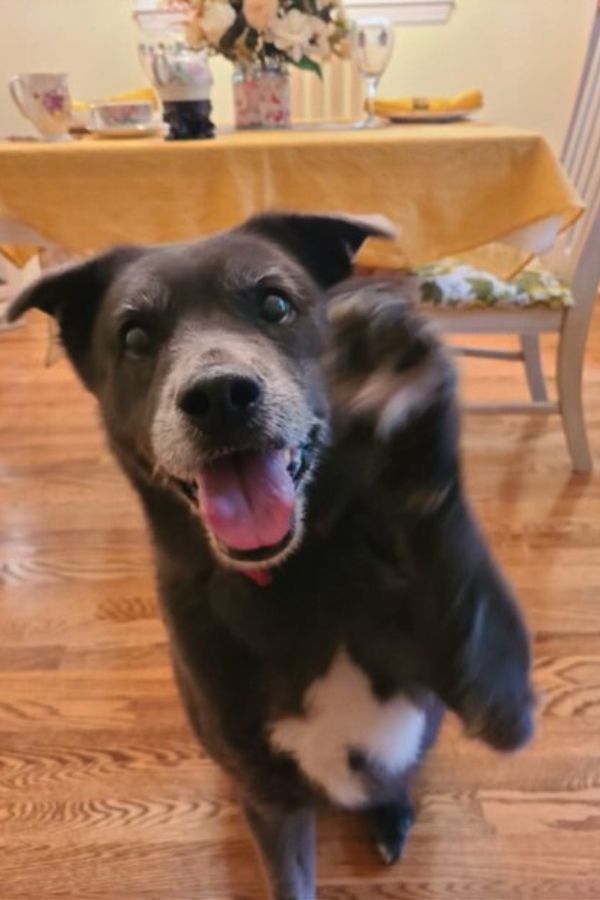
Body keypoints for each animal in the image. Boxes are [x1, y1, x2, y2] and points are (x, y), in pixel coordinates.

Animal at [9, 213, 536, 900]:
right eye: (135, 336)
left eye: (276, 304)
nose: (220, 395)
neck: (299, 573)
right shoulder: (268, 794)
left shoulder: (500, 703)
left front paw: (396, 376)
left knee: (392, 784)